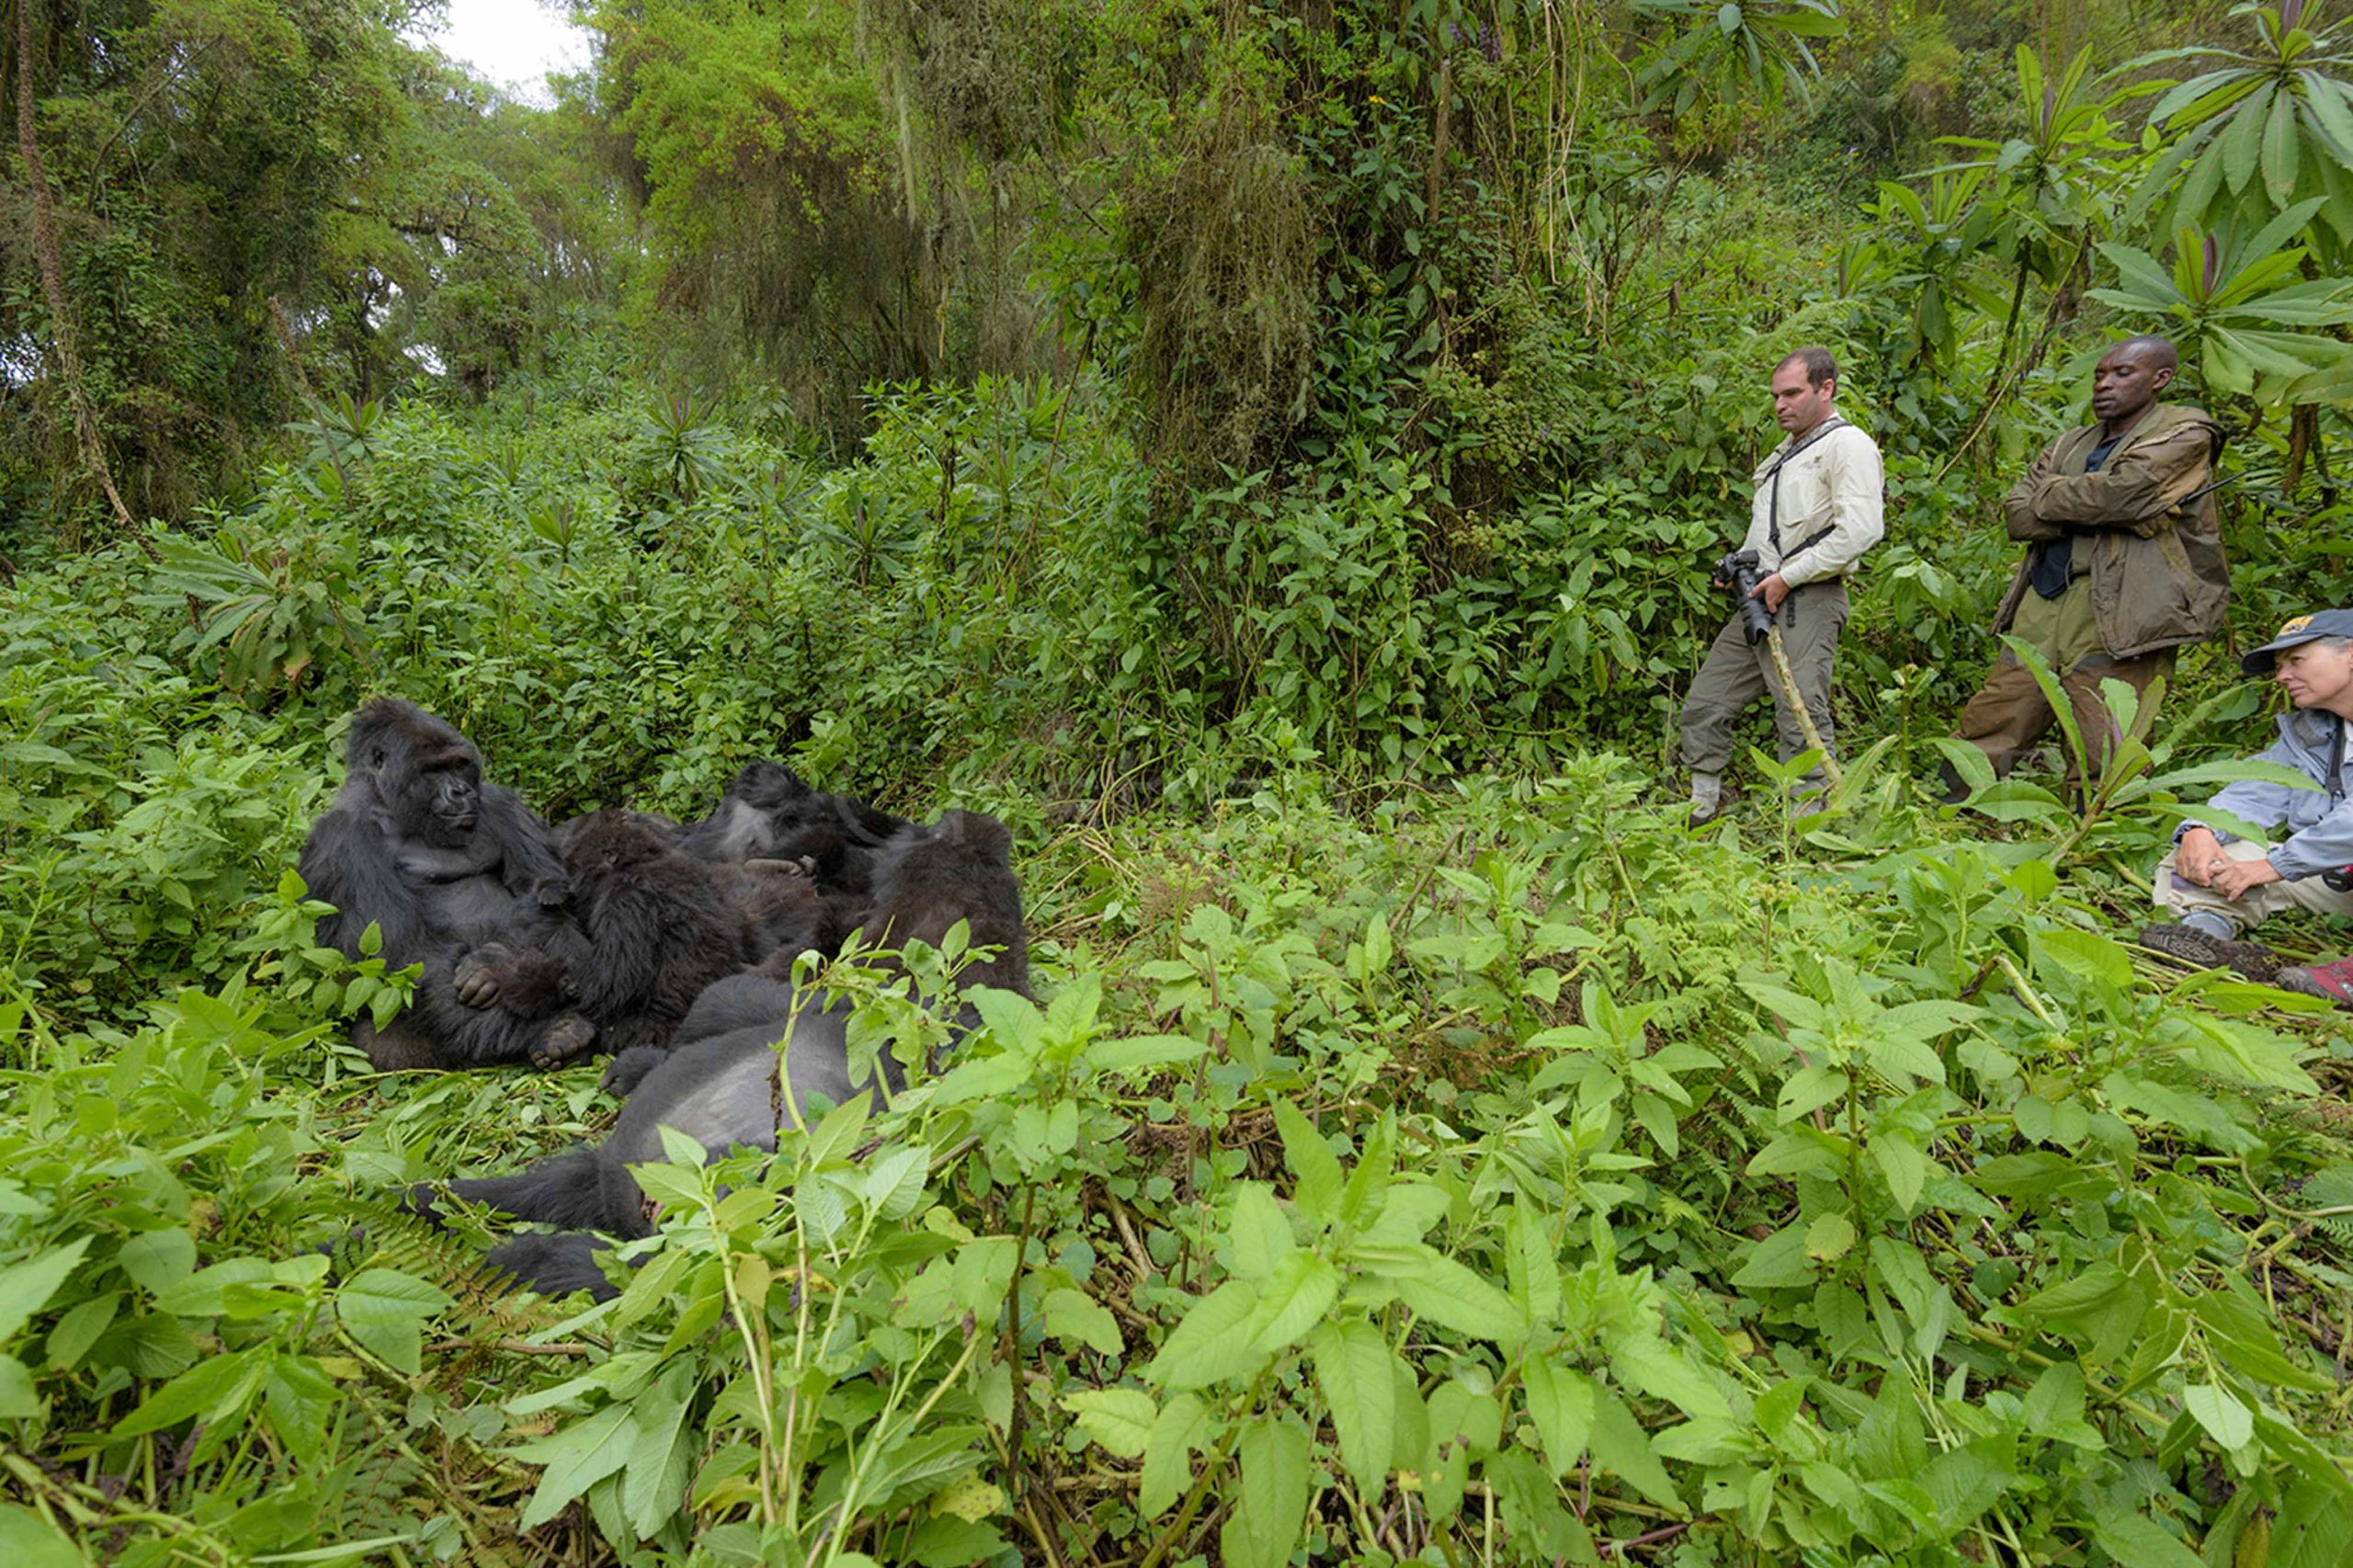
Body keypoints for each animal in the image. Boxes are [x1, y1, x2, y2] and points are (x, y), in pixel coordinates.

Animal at [299, 701, 597, 1068]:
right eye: (433, 769)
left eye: (459, 765)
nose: (461, 791)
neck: (388, 804)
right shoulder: (342, 840)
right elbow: (403, 956)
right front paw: (540, 1030)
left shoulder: (501, 802)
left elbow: (549, 890)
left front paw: (492, 962)